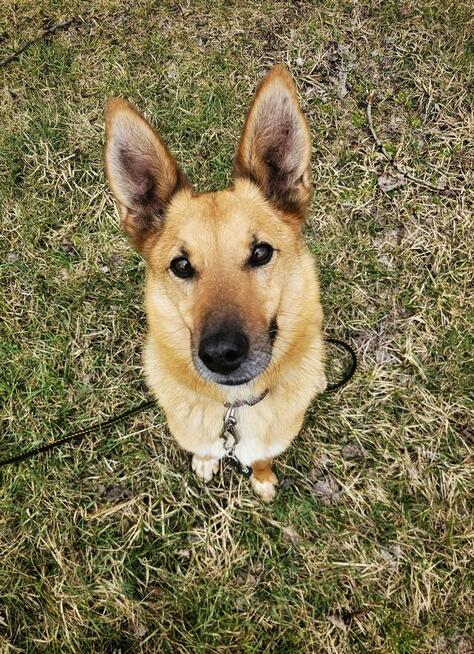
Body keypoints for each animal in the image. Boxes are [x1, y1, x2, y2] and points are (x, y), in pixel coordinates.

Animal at [104, 64, 326, 501]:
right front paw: (207, 462)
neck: (234, 409)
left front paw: (262, 478)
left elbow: (263, 458)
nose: (222, 354)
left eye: (260, 252)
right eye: (181, 265)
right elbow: (204, 449)